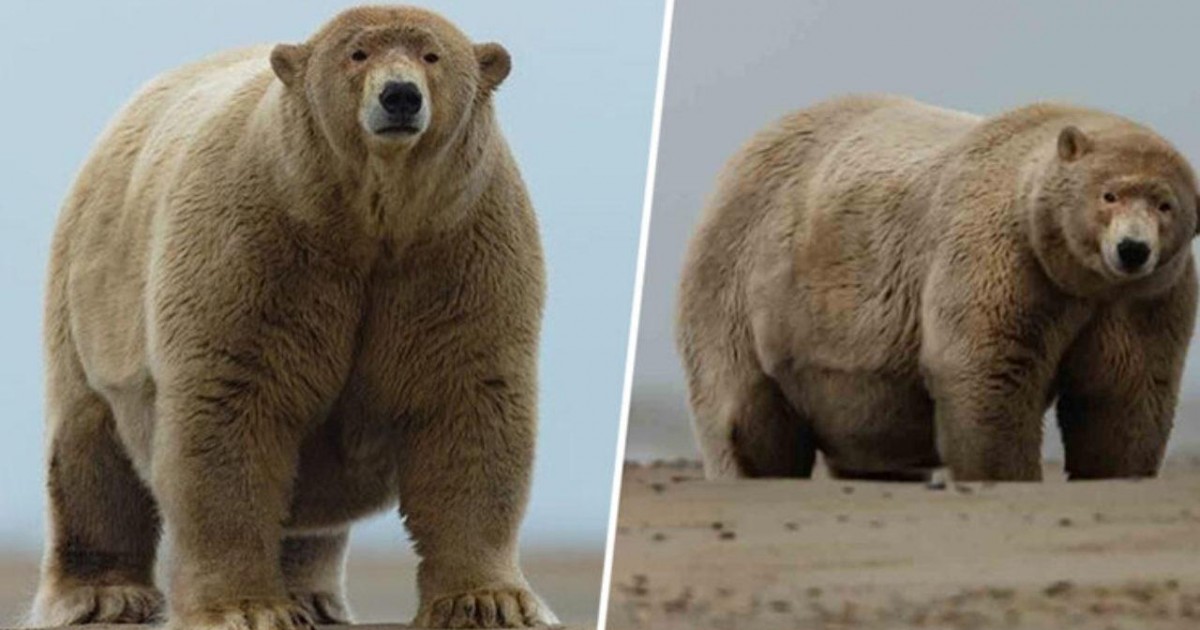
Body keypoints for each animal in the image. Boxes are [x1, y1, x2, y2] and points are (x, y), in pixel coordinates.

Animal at [28, 4, 552, 628]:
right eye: (357, 53)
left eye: (432, 55)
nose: (400, 96)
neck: (368, 222)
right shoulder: (257, 245)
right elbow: (231, 408)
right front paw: (245, 607)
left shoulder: (457, 250)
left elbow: (468, 404)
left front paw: (490, 600)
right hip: (91, 297)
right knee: (89, 446)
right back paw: (104, 595)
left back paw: (313, 596)